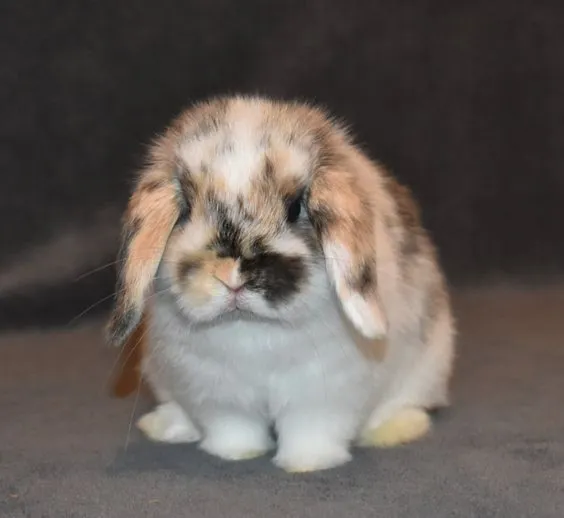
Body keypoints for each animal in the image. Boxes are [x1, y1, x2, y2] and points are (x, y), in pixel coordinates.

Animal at [106, 94, 456, 476]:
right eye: (185, 209)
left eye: (294, 208)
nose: (232, 277)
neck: (251, 329)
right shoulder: (219, 395)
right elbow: (233, 428)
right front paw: (234, 454)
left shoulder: (322, 395)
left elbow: (311, 430)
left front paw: (307, 464)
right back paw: (164, 424)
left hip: (427, 366)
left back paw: (395, 429)